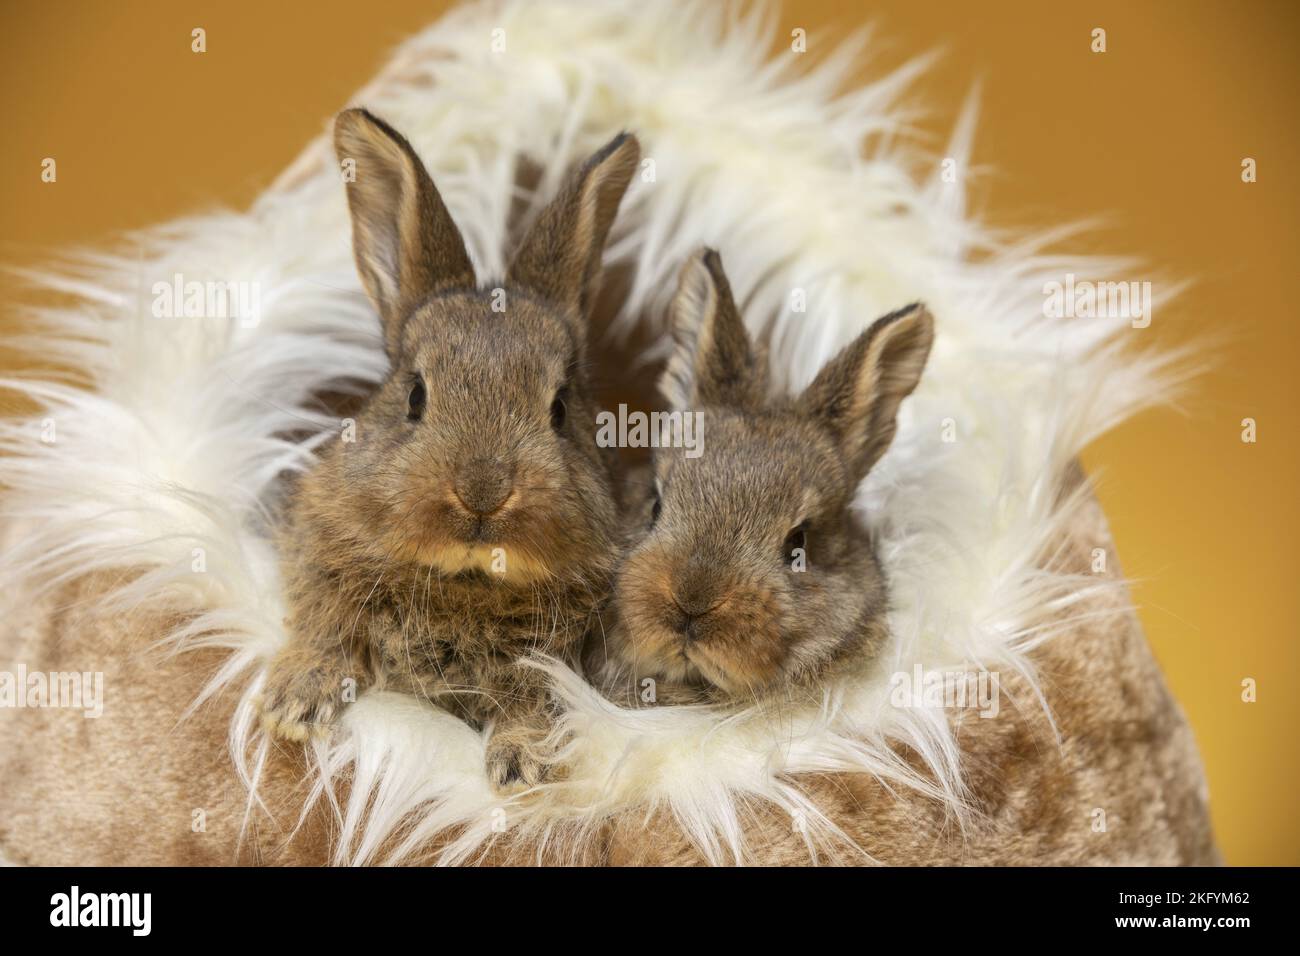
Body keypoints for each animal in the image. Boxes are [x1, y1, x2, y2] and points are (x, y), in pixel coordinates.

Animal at [259, 107, 640, 792]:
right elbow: (324, 628)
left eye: (560, 409)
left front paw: (522, 766)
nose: (482, 492)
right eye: (415, 395)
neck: (465, 578)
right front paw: (293, 703)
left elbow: (531, 700)